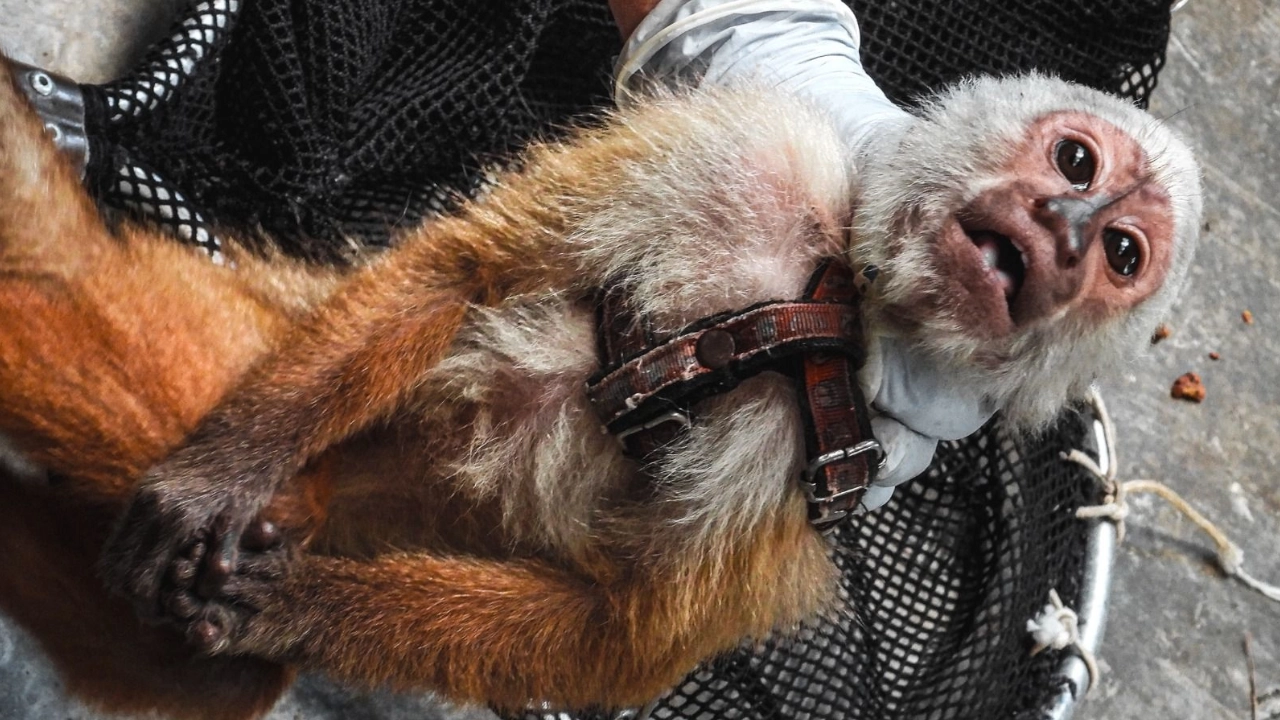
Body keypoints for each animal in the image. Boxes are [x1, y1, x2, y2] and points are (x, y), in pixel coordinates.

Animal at [0, 49, 1201, 718]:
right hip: (258, 328)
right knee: (72, 283)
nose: (1064, 232)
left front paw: (297, 607)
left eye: (1122, 255)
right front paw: (221, 469)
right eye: (1076, 162)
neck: (834, 302)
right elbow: (474, 266)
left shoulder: (825, 465)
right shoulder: (739, 146)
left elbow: (611, 634)